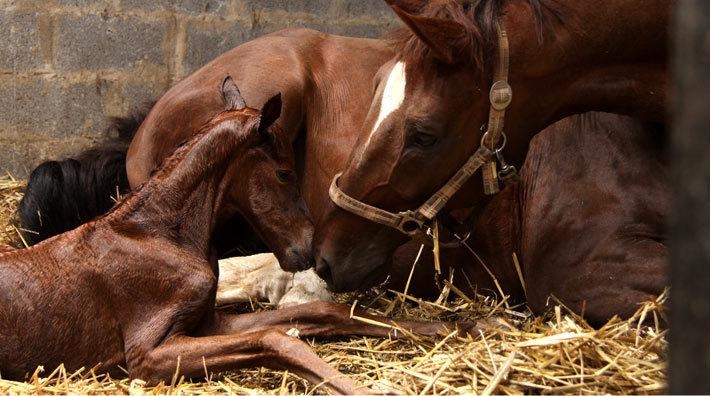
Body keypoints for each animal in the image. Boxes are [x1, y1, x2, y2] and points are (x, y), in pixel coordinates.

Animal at [1, 78, 472, 392]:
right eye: (284, 172)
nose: (309, 249)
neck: (158, 233)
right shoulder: (147, 354)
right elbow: (276, 338)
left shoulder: (208, 322)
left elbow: (321, 314)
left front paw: (458, 325)